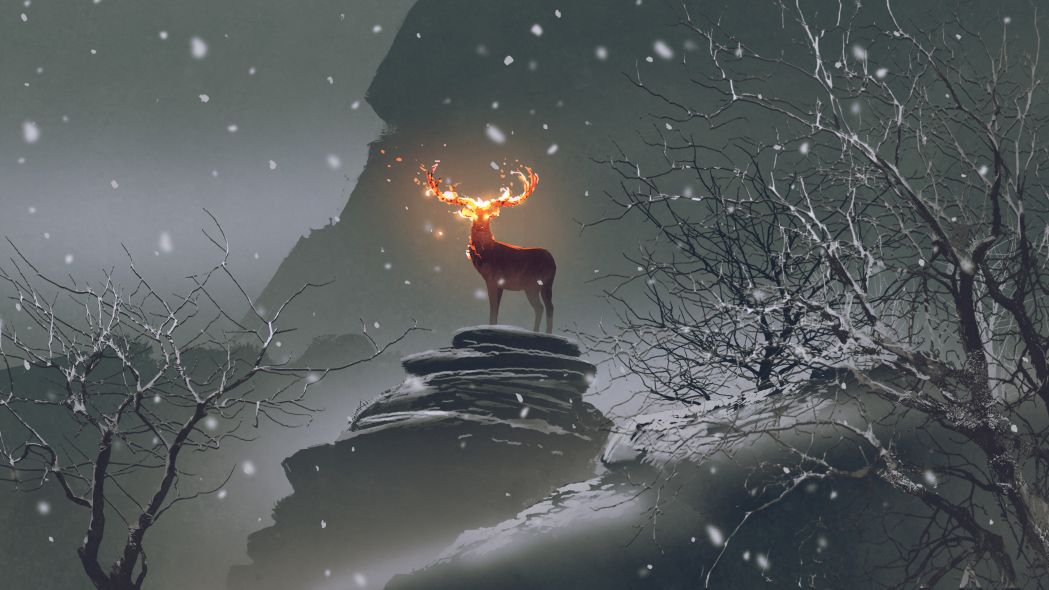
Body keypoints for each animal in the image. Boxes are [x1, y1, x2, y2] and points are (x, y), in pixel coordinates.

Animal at [424, 162, 556, 333]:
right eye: (474, 215)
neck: (486, 256)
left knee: (545, 307)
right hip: (539, 286)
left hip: (539, 283)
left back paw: (542, 332)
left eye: (488, 216)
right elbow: (495, 310)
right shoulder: (495, 282)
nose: (481, 226)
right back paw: (541, 332)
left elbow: (493, 310)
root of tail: (553, 261)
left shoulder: (494, 280)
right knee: (544, 307)